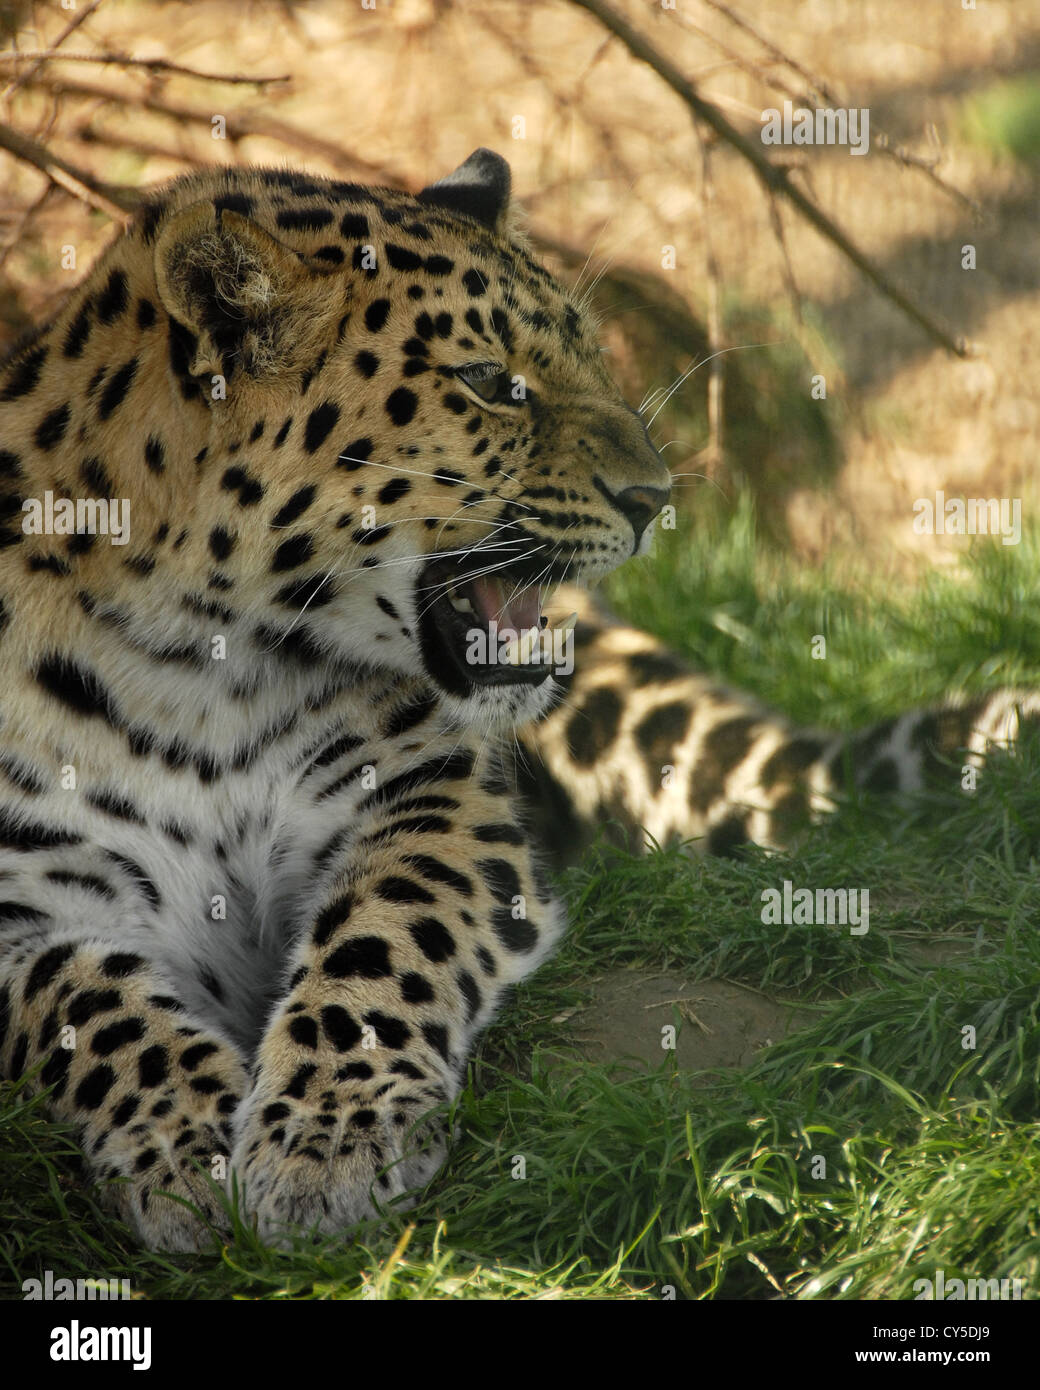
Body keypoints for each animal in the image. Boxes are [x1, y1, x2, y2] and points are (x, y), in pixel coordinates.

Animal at [0, 146, 1034, 1256]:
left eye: (590, 358)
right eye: (492, 385)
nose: (656, 497)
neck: (202, 666)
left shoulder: (426, 795)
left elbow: (381, 939)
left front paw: (324, 1142)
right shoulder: (22, 899)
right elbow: (90, 1004)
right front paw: (179, 1147)